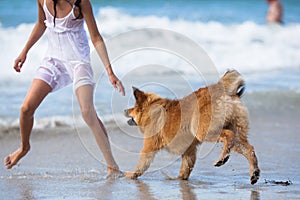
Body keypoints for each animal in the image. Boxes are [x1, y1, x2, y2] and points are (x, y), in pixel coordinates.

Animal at [124, 70, 260, 184]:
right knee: (249, 149)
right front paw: (180, 178)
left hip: (203, 131)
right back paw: (254, 173)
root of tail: (222, 89)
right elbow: (186, 166)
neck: (150, 109)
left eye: (133, 108)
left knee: (228, 136)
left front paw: (132, 174)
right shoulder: (189, 150)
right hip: (237, 133)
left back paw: (223, 158)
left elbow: (142, 164)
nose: (125, 110)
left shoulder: (149, 146)